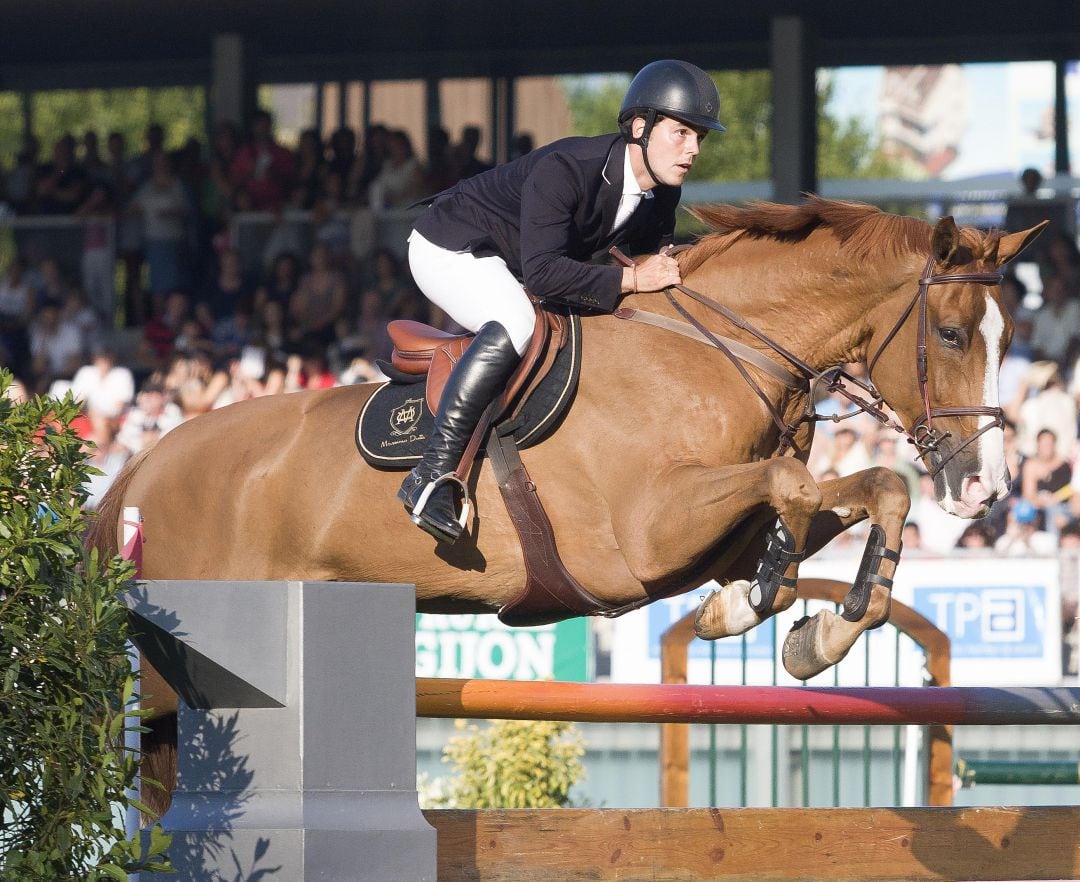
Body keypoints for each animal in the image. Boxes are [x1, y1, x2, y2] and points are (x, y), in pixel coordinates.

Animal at [92, 192, 1045, 811]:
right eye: (951, 334)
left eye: (1012, 340)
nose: (988, 488)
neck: (718, 350)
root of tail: (142, 466)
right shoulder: (647, 540)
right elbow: (795, 488)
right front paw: (761, 609)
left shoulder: (715, 533)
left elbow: (866, 490)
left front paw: (809, 630)